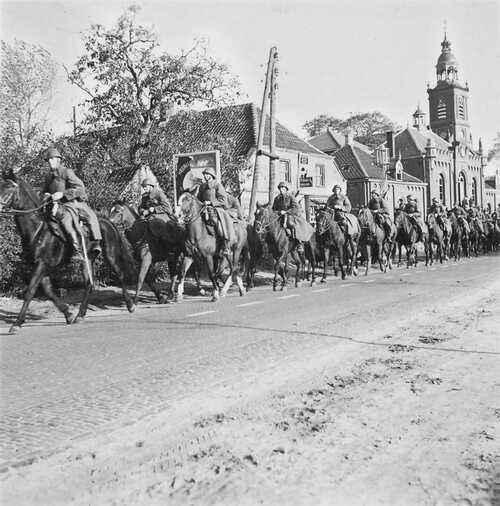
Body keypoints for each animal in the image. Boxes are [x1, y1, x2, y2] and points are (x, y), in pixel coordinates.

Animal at [0, 173, 135, 332]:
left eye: (9, 187)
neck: (39, 229)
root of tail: (108, 221)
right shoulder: (42, 267)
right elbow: (49, 292)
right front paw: (68, 314)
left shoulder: (42, 265)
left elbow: (30, 292)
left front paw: (17, 323)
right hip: (87, 260)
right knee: (89, 284)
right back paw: (80, 315)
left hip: (111, 255)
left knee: (120, 275)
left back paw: (130, 305)